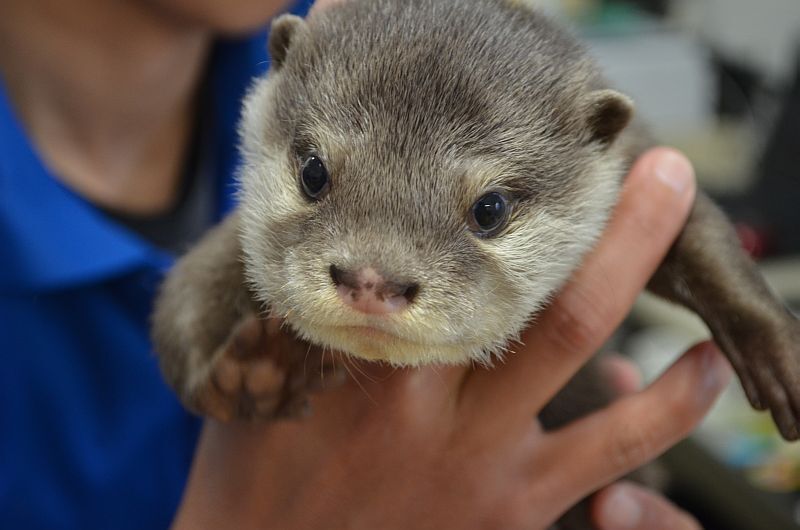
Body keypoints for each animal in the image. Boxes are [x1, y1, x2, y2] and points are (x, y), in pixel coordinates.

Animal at [153, 0, 800, 462]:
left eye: (490, 208)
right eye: (314, 171)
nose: (371, 279)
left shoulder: (640, 162)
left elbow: (708, 240)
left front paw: (778, 350)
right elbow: (186, 289)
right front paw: (251, 376)